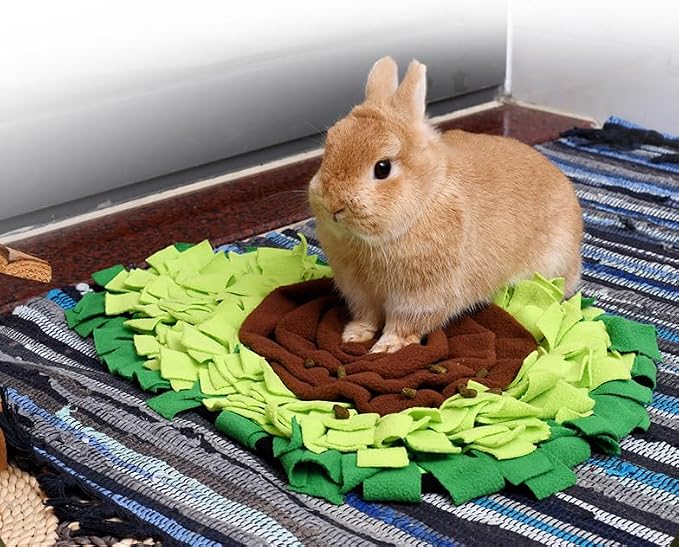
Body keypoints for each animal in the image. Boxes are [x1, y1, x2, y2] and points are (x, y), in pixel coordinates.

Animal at [308, 56, 583, 354]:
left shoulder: (421, 296)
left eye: (382, 168)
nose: (333, 207)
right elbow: (366, 315)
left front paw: (387, 348)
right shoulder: (359, 291)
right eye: (329, 147)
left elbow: (404, 324)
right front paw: (353, 335)